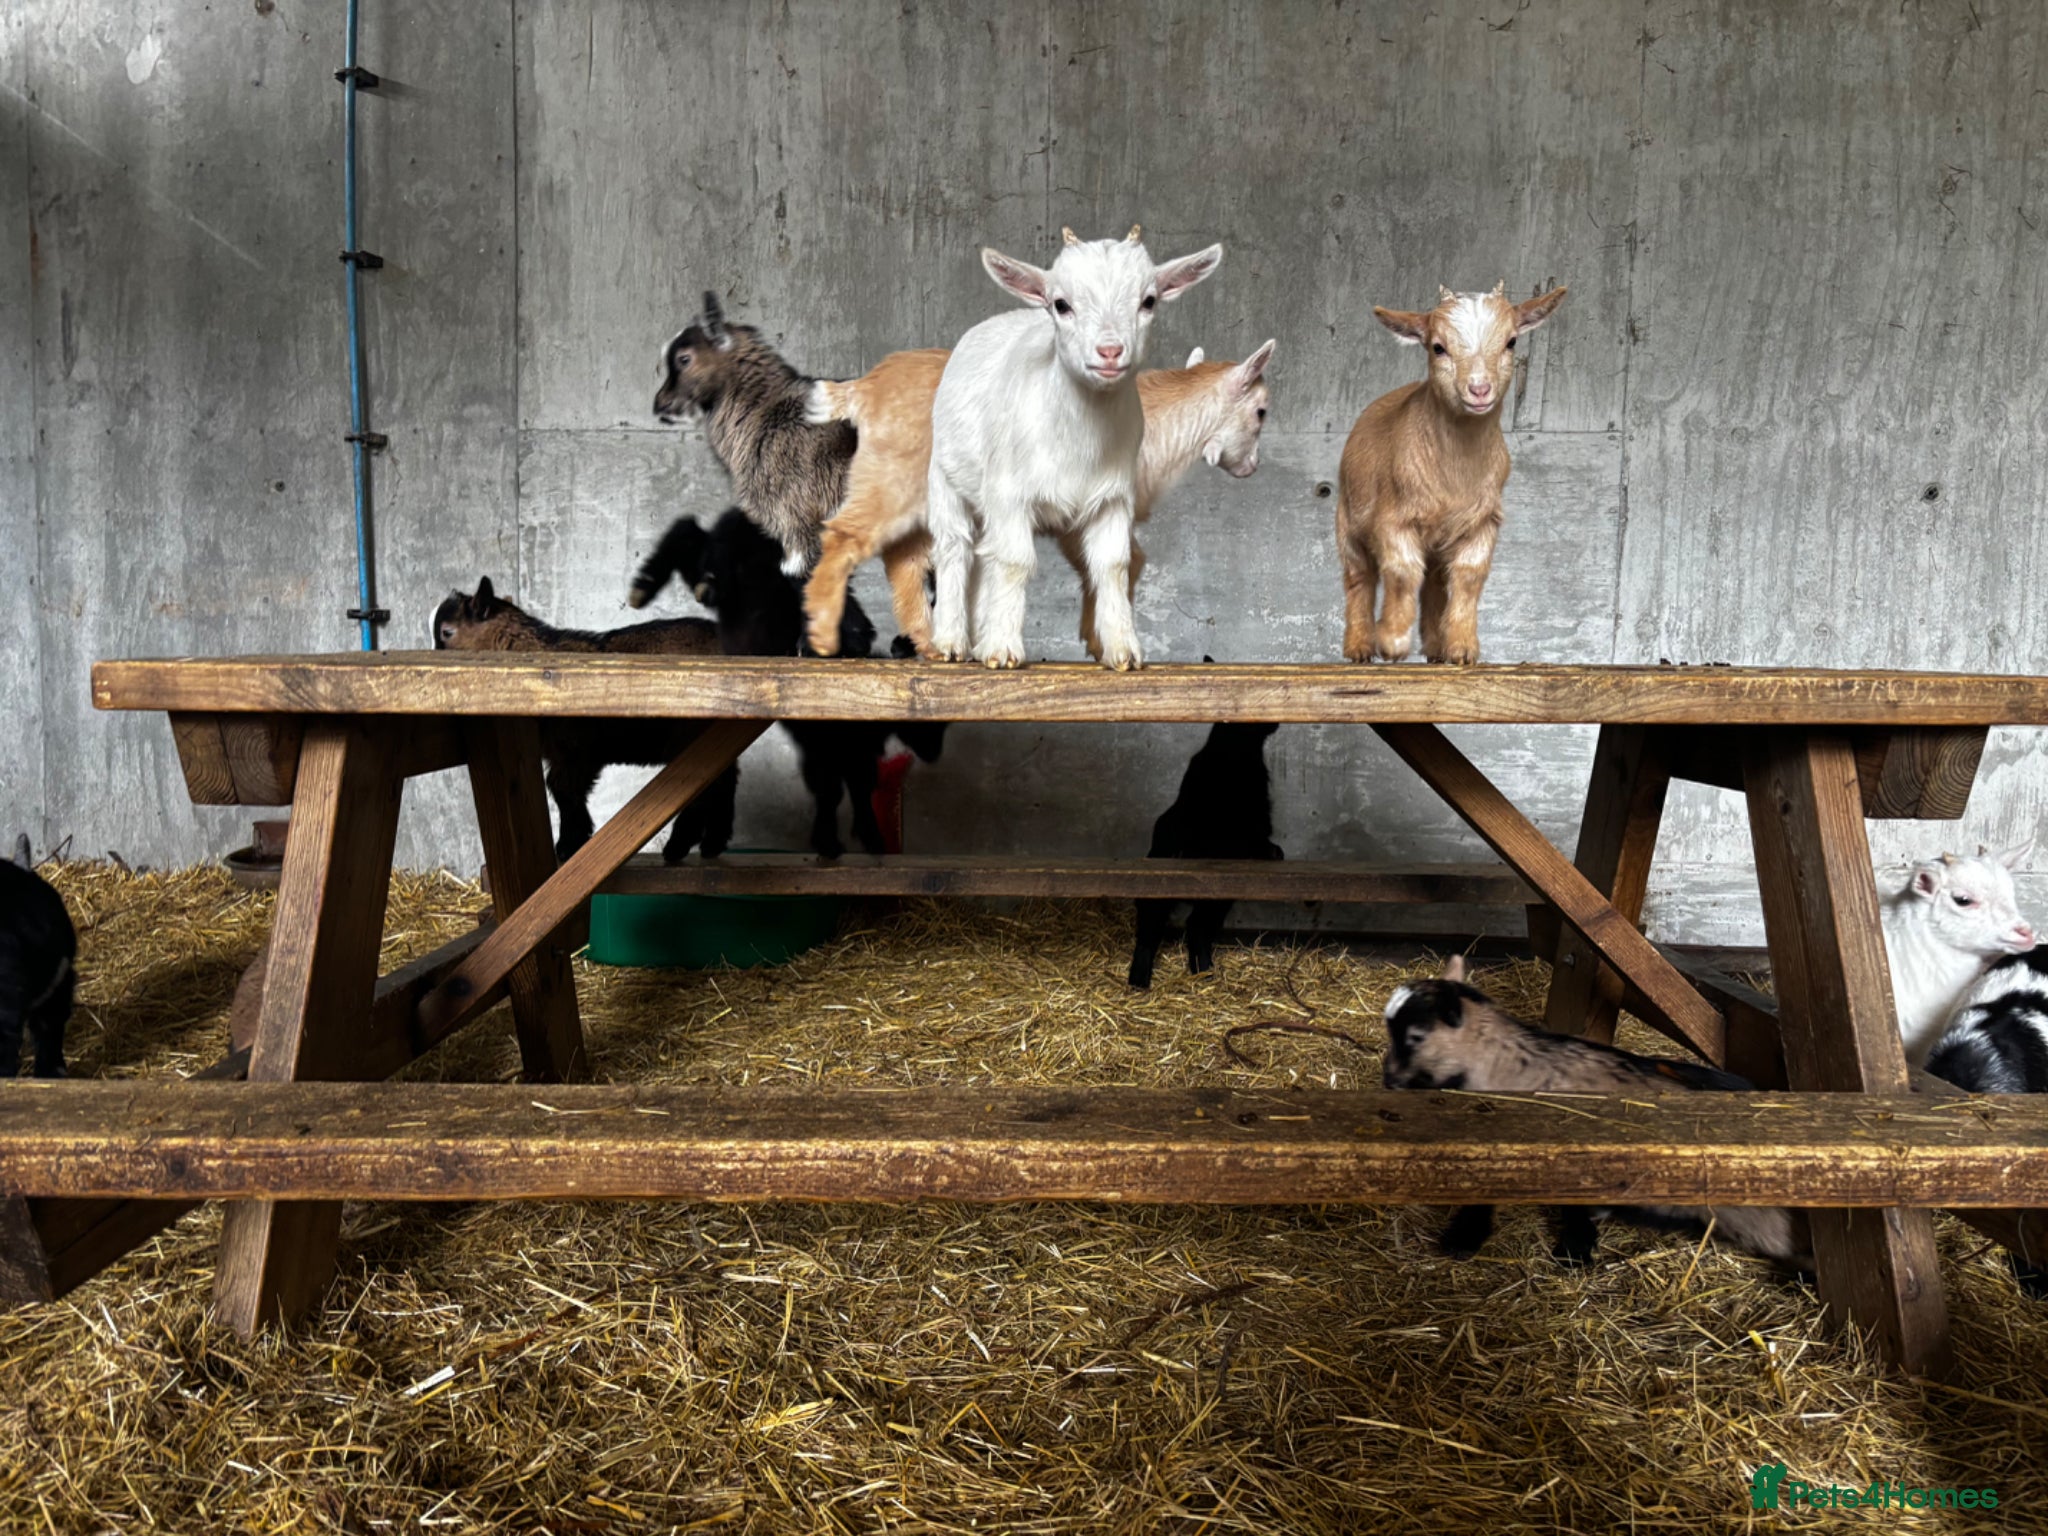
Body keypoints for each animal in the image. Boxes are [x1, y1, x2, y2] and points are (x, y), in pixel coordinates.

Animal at [431, 578, 737, 865]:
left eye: (447, 632)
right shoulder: (564, 753)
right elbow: (562, 790)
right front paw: (575, 839)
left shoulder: (575, 750)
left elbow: (562, 789)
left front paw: (569, 844)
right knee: (725, 782)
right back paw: (712, 844)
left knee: (706, 788)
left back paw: (678, 846)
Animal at [629, 508, 945, 858]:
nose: (934, 751)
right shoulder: (828, 746)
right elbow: (831, 789)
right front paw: (832, 842)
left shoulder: (849, 752)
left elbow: (854, 790)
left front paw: (863, 840)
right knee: (716, 532)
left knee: (699, 536)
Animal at [801, 340, 1275, 660]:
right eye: (1261, 412)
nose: (1252, 467)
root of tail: (867, 385)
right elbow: (1125, 562)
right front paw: (1100, 639)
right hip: (894, 480)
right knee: (846, 535)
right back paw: (824, 633)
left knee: (905, 560)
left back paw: (930, 640)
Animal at [926, 225, 1224, 670]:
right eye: (1061, 305)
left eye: (1148, 301)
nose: (1110, 351)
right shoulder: (1008, 494)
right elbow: (1013, 562)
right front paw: (1003, 649)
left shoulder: (1114, 497)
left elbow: (1113, 564)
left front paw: (1123, 650)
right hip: (944, 479)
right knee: (955, 548)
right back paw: (950, 642)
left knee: (983, 556)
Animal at [1337, 282, 1568, 665]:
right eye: (1438, 347)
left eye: (1511, 342)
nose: (1479, 389)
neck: (1454, 473)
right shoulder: (1393, 518)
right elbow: (1402, 571)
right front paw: (1393, 641)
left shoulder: (1483, 522)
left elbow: (1469, 576)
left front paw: (1462, 647)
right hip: (1346, 520)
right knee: (1359, 575)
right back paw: (1359, 648)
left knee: (1432, 582)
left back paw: (1434, 648)